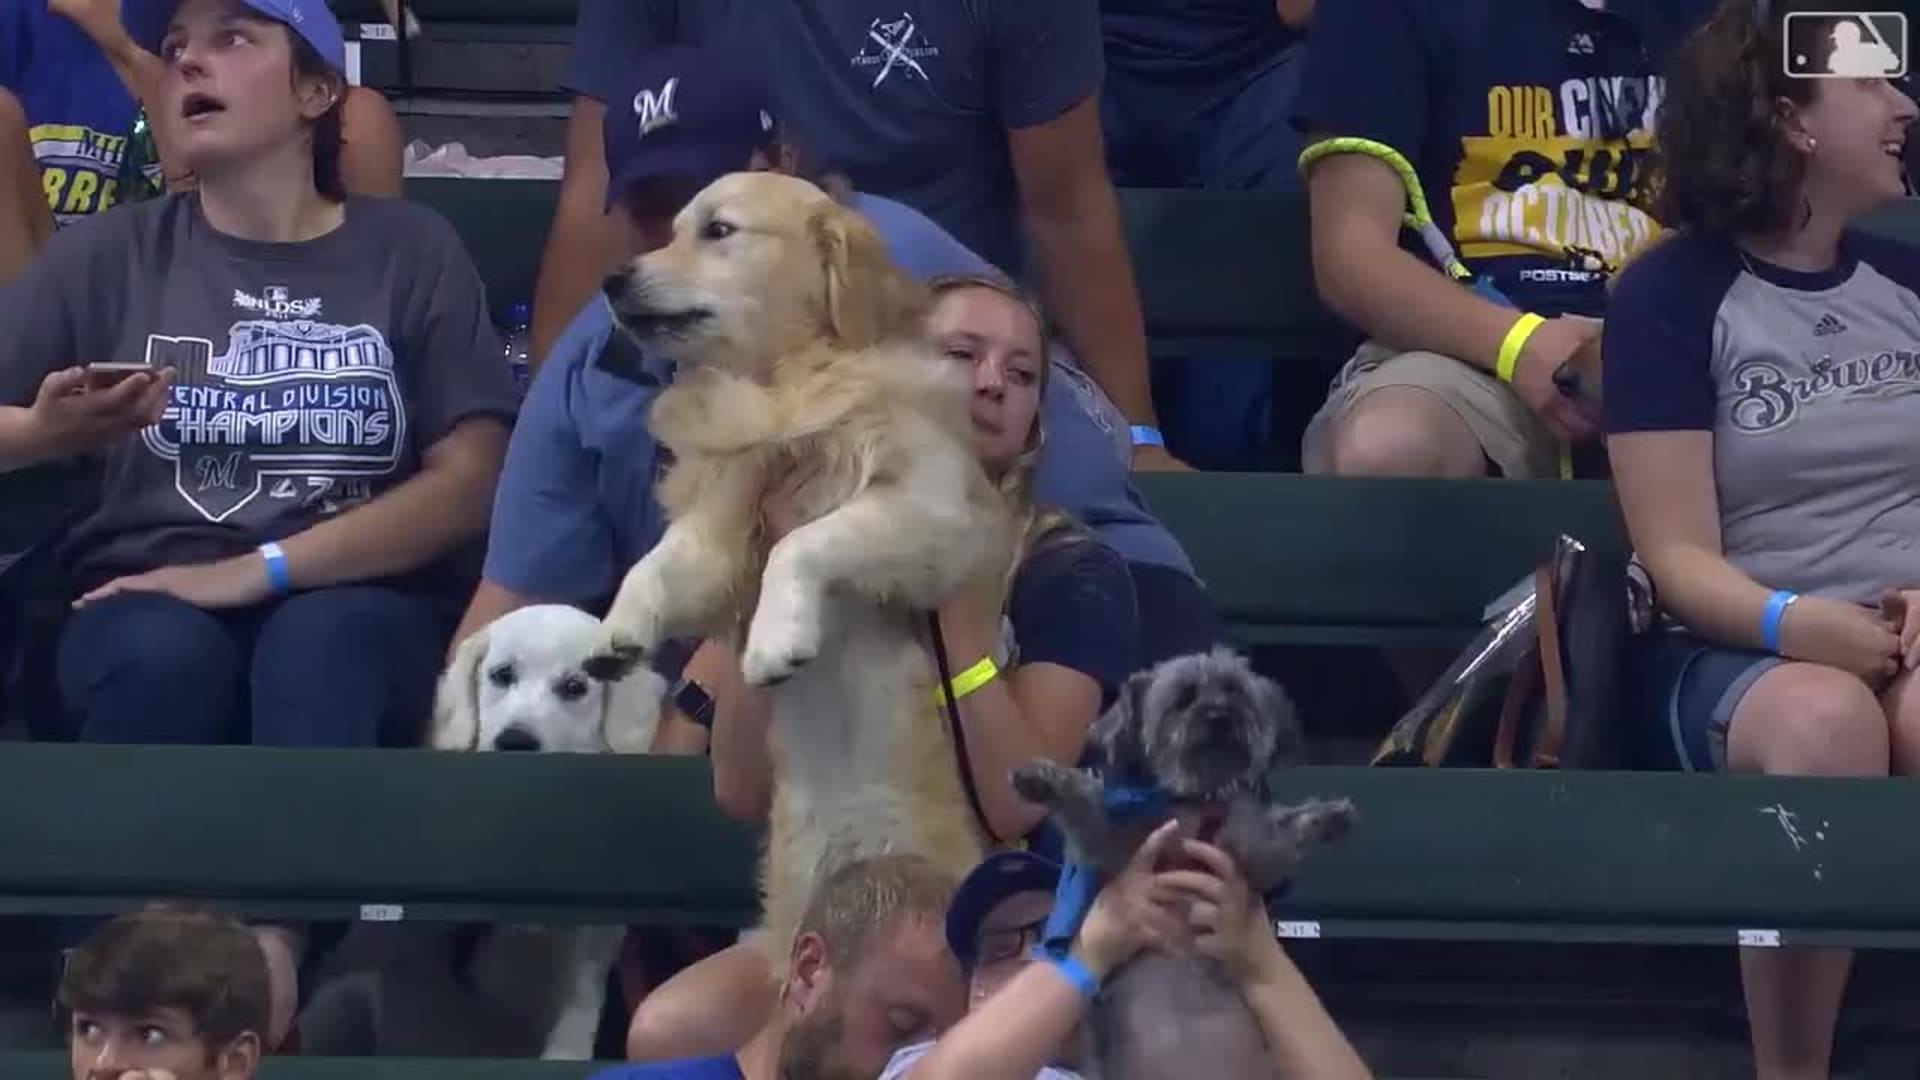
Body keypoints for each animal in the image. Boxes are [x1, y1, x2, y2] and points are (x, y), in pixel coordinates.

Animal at [579, 170, 1006, 957]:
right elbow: (656, 564)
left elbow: (802, 543)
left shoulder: (934, 511)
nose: (613, 279)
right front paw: (616, 634)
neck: (783, 385)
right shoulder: (721, 523)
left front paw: (777, 640)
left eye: (718, 230)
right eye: (672, 228)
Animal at [1013, 645, 1359, 1076]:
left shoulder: (1251, 854)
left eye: (1233, 689)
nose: (1218, 714)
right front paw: (1045, 778)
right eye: (1183, 698)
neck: (1196, 802)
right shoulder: (1115, 840)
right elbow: (1084, 800)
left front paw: (1325, 817)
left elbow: (1279, 838)